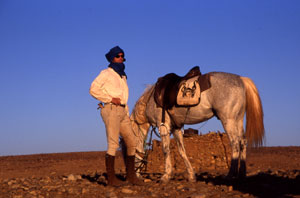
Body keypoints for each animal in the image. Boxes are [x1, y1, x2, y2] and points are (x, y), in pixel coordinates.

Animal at [130, 71, 264, 183]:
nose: (136, 176)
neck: (150, 100)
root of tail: (240, 79)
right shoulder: (176, 128)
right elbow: (182, 151)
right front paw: (191, 176)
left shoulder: (163, 126)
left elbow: (166, 150)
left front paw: (166, 176)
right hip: (238, 120)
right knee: (242, 142)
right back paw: (242, 175)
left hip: (228, 120)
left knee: (235, 143)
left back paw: (230, 175)